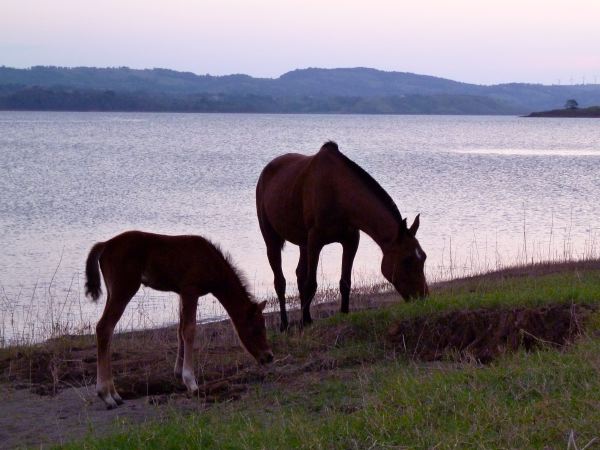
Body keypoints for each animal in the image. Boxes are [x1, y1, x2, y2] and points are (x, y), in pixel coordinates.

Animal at [84, 230, 272, 410]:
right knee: (104, 328)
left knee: (108, 332)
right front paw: (191, 382)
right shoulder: (191, 289)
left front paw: (178, 373)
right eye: (256, 329)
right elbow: (189, 330)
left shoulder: (181, 292)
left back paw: (115, 394)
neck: (210, 261)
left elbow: (180, 330)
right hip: (124, 288)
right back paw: (106, 395)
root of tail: (104, 245)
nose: (269, 357)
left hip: (112, 291)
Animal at [255, 141, 428, 330]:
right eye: (406, 260)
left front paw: (343, 315)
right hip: (272, 239)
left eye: (424, 257)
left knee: (299, 274)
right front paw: (306, 321)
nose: (423, 297)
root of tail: (265, 172)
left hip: (303, 242)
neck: (338, 192)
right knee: (280, 282)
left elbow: (345, 282)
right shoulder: (315, 241)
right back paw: (285, 324)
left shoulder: (350, 241)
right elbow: (311, 284)